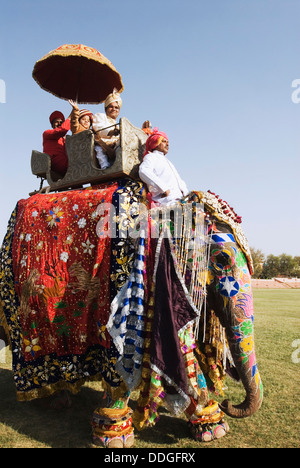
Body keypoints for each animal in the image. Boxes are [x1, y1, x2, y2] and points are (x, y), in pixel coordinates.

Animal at [0, 178, 262, 446]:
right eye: (222, 260)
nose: (229, 401)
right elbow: (125, 353)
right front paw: (114, 434)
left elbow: (182, 346)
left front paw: (212, 427)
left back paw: (58, 399)